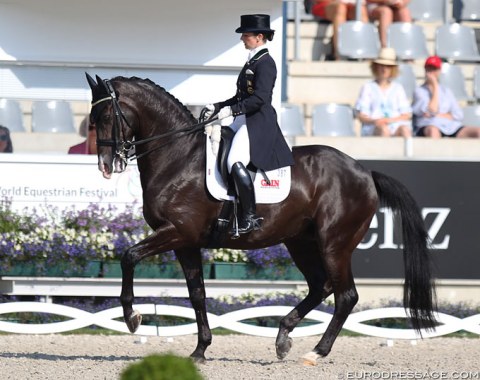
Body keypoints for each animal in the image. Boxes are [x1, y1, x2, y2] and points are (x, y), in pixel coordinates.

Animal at [85, 73, 436, 366]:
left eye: (106, 117)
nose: (104, 165)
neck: (178, 157)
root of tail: (365, 172)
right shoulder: (185, 242)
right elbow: (197, 294)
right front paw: (200, 350)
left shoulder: (176, 232)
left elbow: (129, 256)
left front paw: (132, 317)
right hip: (301, 242)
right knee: (320, 286)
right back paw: (283, 337)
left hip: (335, 244)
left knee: (346, 295)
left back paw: (316, 352)